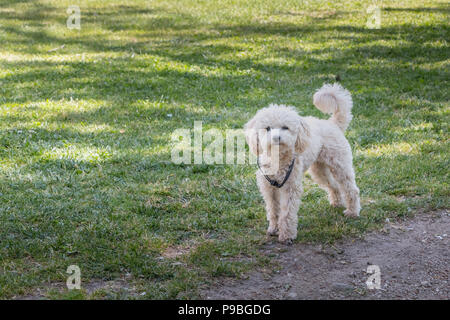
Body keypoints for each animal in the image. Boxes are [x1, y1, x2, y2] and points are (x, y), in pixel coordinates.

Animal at [244, 84, 360, 244]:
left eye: (285, 127)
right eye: (267, 128)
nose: (276, 138)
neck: (278, 158)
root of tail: (332, 124)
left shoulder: (291, 187)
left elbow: (287, 213)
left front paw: (287, 235)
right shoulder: (269, 188)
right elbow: (273, 210)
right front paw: (273, 229)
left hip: (340, 166)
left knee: (351, 189)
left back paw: (352, 212)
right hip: (319, 170)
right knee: (334, 186)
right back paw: (336, 203)